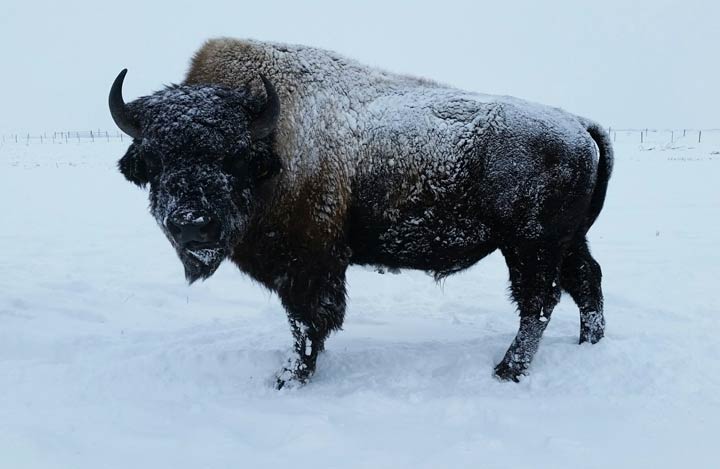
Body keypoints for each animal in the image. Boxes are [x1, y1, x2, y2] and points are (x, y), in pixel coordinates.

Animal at [109, 38, 613, 388]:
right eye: (155, 158)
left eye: (234, 156)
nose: (192, 226)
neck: (270, 145)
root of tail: (579, 124)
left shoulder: (306, 266)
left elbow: (307, 322)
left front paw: (290, 377)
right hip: (565, 243)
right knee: (585, 282)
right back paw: (587, 345)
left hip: (530, 246)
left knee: (539, 301)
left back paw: (507, 370)